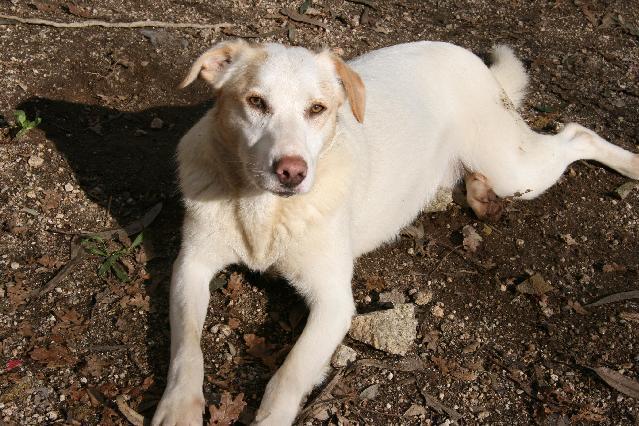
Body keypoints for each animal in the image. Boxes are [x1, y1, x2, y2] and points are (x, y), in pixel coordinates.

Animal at [151, 40, 639, 426]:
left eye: (317, 109)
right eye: (256, 102)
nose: (292, 171)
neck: (264, 210)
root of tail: (465, 55)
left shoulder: (334, 302)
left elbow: (288, 375)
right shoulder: (190, 268)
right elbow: (187, 348)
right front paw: (178, 408)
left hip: (515, 169)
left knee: (577, 133)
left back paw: (630, 164)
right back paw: (479, 194)